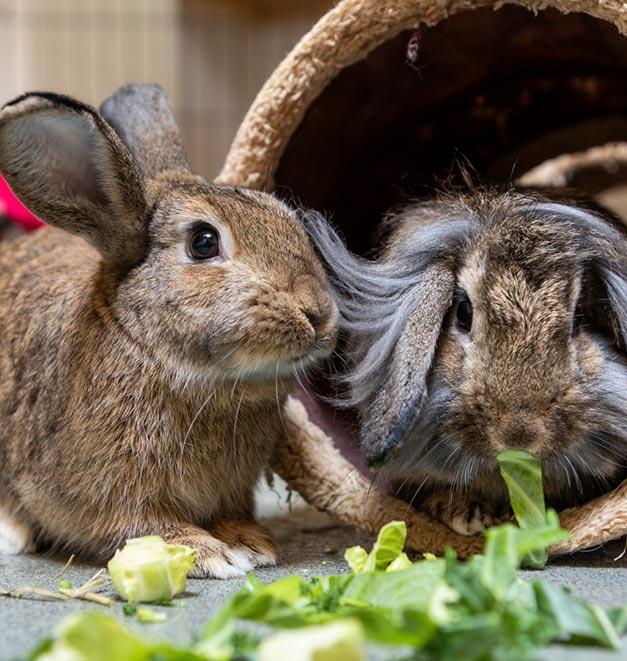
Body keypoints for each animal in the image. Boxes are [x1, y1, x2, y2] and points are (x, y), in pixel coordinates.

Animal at [0, 85, 338, 576]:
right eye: (203, 242)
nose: (318, 313)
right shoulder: (109, 495)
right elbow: (143, 525)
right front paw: (209, 553)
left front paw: (251, 542)